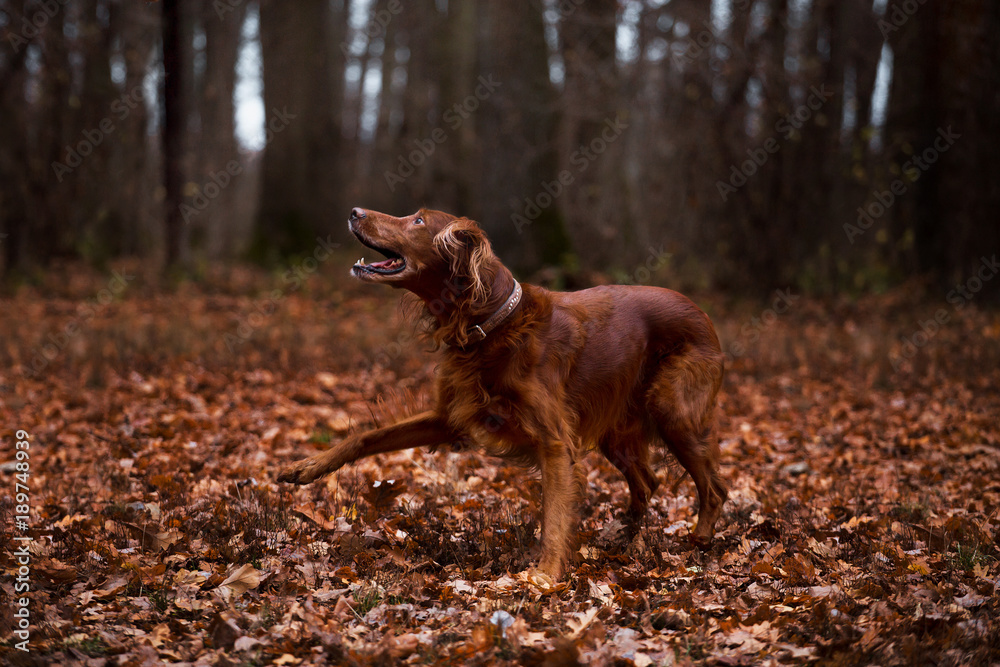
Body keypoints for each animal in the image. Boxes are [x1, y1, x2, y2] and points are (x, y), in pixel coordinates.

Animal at [282, 207, 728, 580]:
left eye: (418, 221)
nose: (355, 211)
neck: (490, 323)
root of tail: (704, 313)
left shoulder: (554, 442)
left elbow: (554, 515)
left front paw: (544, 575)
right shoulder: (449, 417)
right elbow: (366, 435)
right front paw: (307, 466)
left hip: (672, 410)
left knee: (713, 489)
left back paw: (699, 540)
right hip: (617, 430)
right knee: (648, 481)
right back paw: (625, 536)